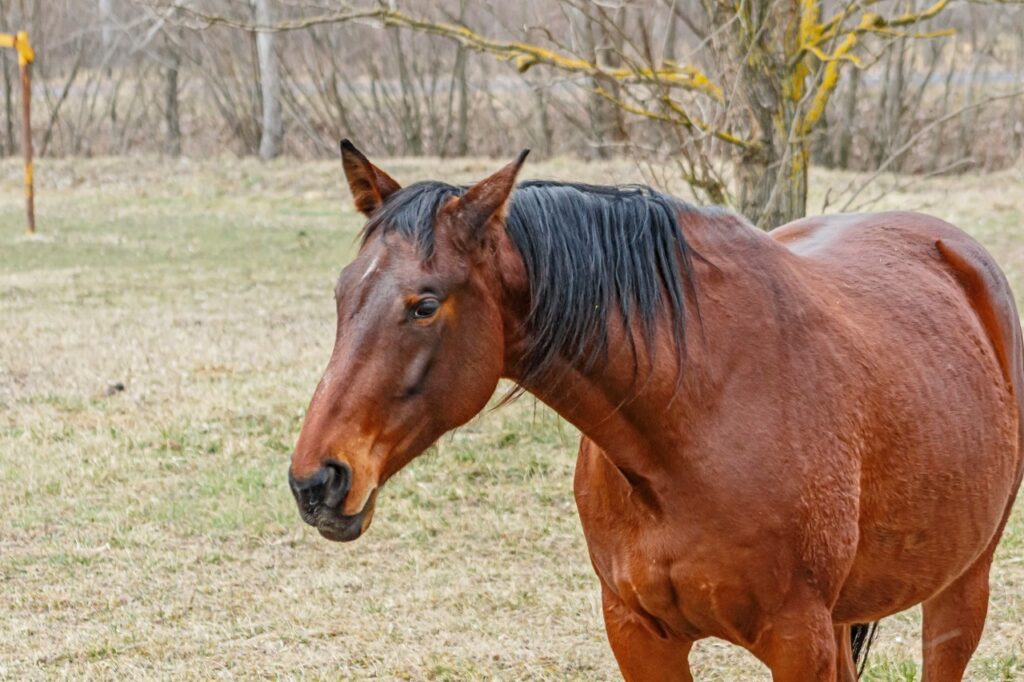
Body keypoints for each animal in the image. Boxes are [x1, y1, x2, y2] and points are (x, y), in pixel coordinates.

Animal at [289, 140, 1024, 681]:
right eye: (342, 293)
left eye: (424, 304)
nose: (316, 481)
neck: (691, 424)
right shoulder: (639, 635)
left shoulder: (799, 640)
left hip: (960, 590)